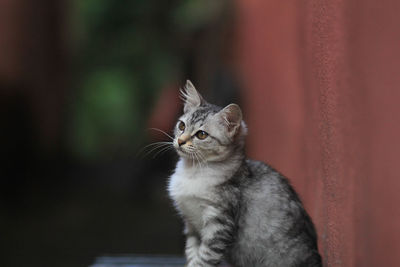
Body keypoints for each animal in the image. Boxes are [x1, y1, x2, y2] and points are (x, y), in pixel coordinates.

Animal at [168, 81, 322, 267]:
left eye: (201, 135)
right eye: (182, 126)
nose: (180, 141)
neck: (192, 171)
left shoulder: (219, 224)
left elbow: (204, 259)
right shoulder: (191, 226)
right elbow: (192, 253)